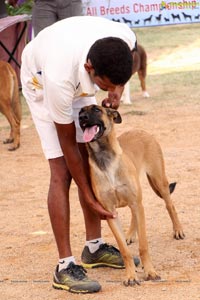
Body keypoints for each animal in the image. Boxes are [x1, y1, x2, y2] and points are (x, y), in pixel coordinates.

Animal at [79, 105, 185, 286]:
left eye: (96, 109)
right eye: (80, 112)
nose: (82, 118)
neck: (105, 160)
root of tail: (141, 130)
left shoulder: (137, 203)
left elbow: (143, 246)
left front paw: (150, 272)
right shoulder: (110, 213)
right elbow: (124, 250)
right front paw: (130, 275)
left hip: (159, 181)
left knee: (169, 204)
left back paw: (177, 230)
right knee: (135, 215)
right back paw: (129, 235)